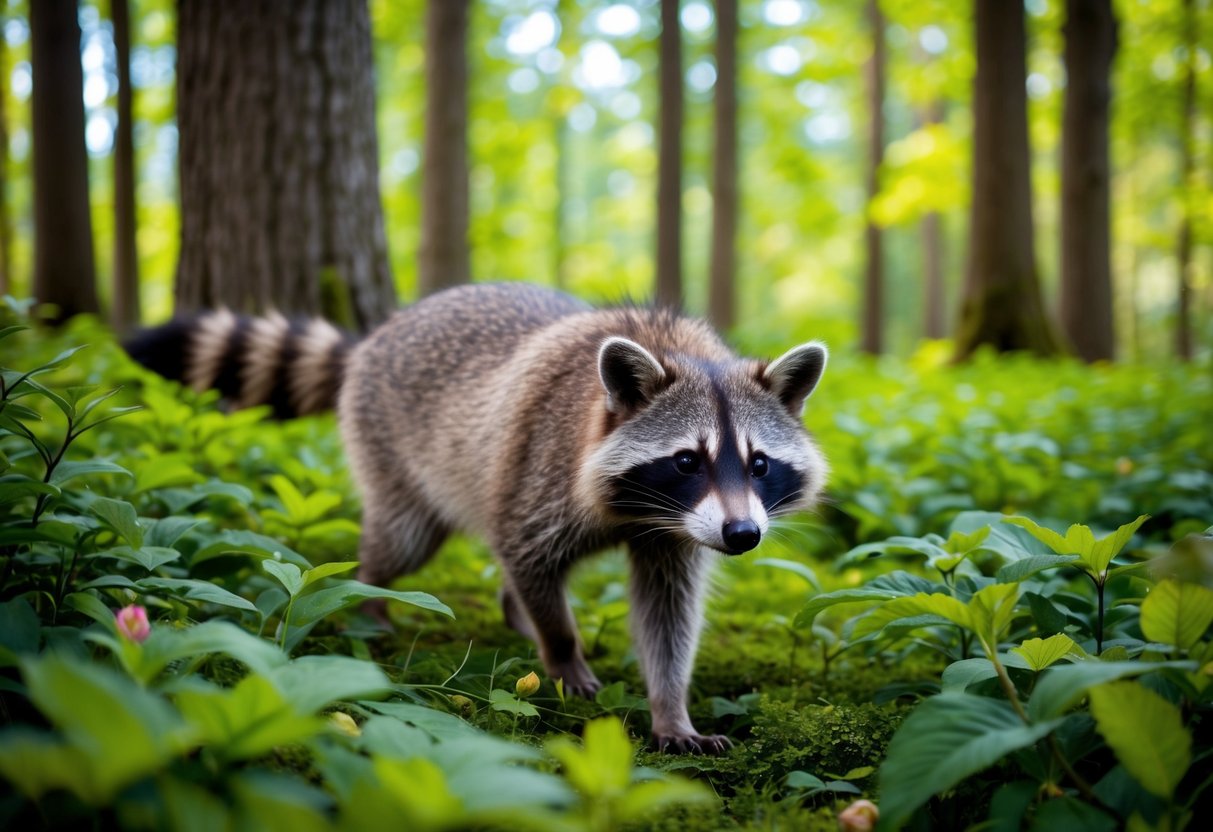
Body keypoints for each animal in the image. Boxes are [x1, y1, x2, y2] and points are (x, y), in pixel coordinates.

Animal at [127, 283, 828, 753]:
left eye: (759, 464)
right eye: (687, 460)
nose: (744, 535)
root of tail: (380, 333)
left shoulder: (675, 533)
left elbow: (667, 611)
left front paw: (670, 706)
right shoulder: (546, 466)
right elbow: (528, 551)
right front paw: (563, 653)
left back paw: (514, 610)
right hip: (396, 449)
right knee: (405, 539)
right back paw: (374, 594)